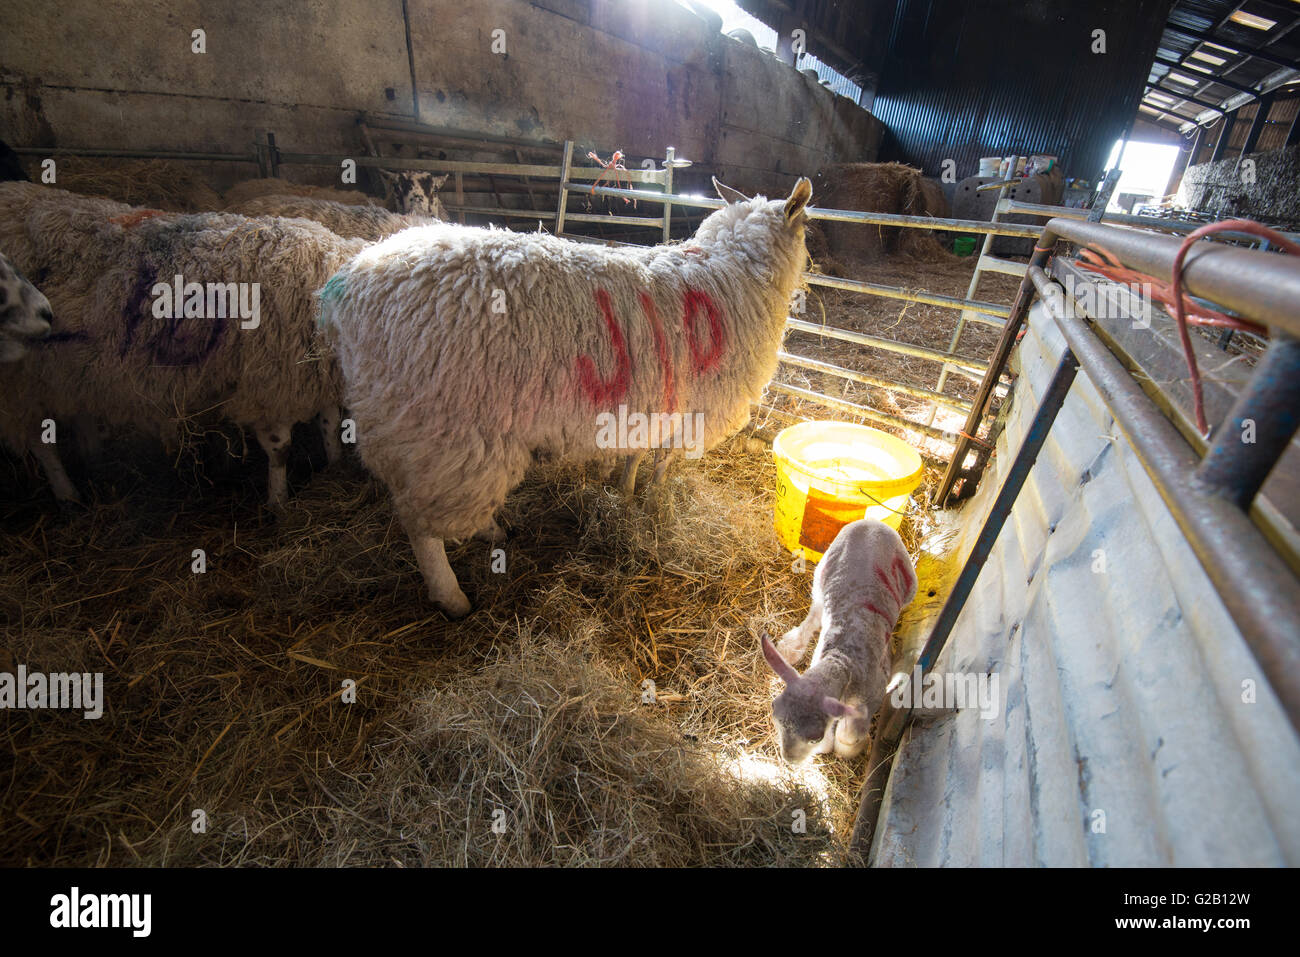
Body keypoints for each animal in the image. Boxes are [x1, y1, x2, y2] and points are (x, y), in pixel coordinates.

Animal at [0, 182, 365, 506]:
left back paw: (92, 456)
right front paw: (279, 504)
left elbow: (330, 423)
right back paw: (67, 493)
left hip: (63, 368)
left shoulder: (315, 377)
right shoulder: (269, 384)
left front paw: (335, 466)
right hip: (19, 381)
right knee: (39, 440)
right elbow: (280, 449)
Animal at [319, 177, 812, 617]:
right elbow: (663, 464)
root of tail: (349, 287)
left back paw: (493, 532)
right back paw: (452, 596)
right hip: (441, 431)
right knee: (421, 527)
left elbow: (635, 455)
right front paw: (655, 504)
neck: (735, 272)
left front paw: (624, 491)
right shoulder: (696, 410)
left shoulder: (650, 401)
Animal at [760, 518, 917, 764]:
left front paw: (849, 748)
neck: (844, 658)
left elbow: (849, 733)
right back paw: (792, 647)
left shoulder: (872, 693)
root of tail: (874, 522)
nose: (789, 760)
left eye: (813, 738)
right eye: (774, 713)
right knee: (815, 611)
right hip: (822, 570)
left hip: (909, 582)